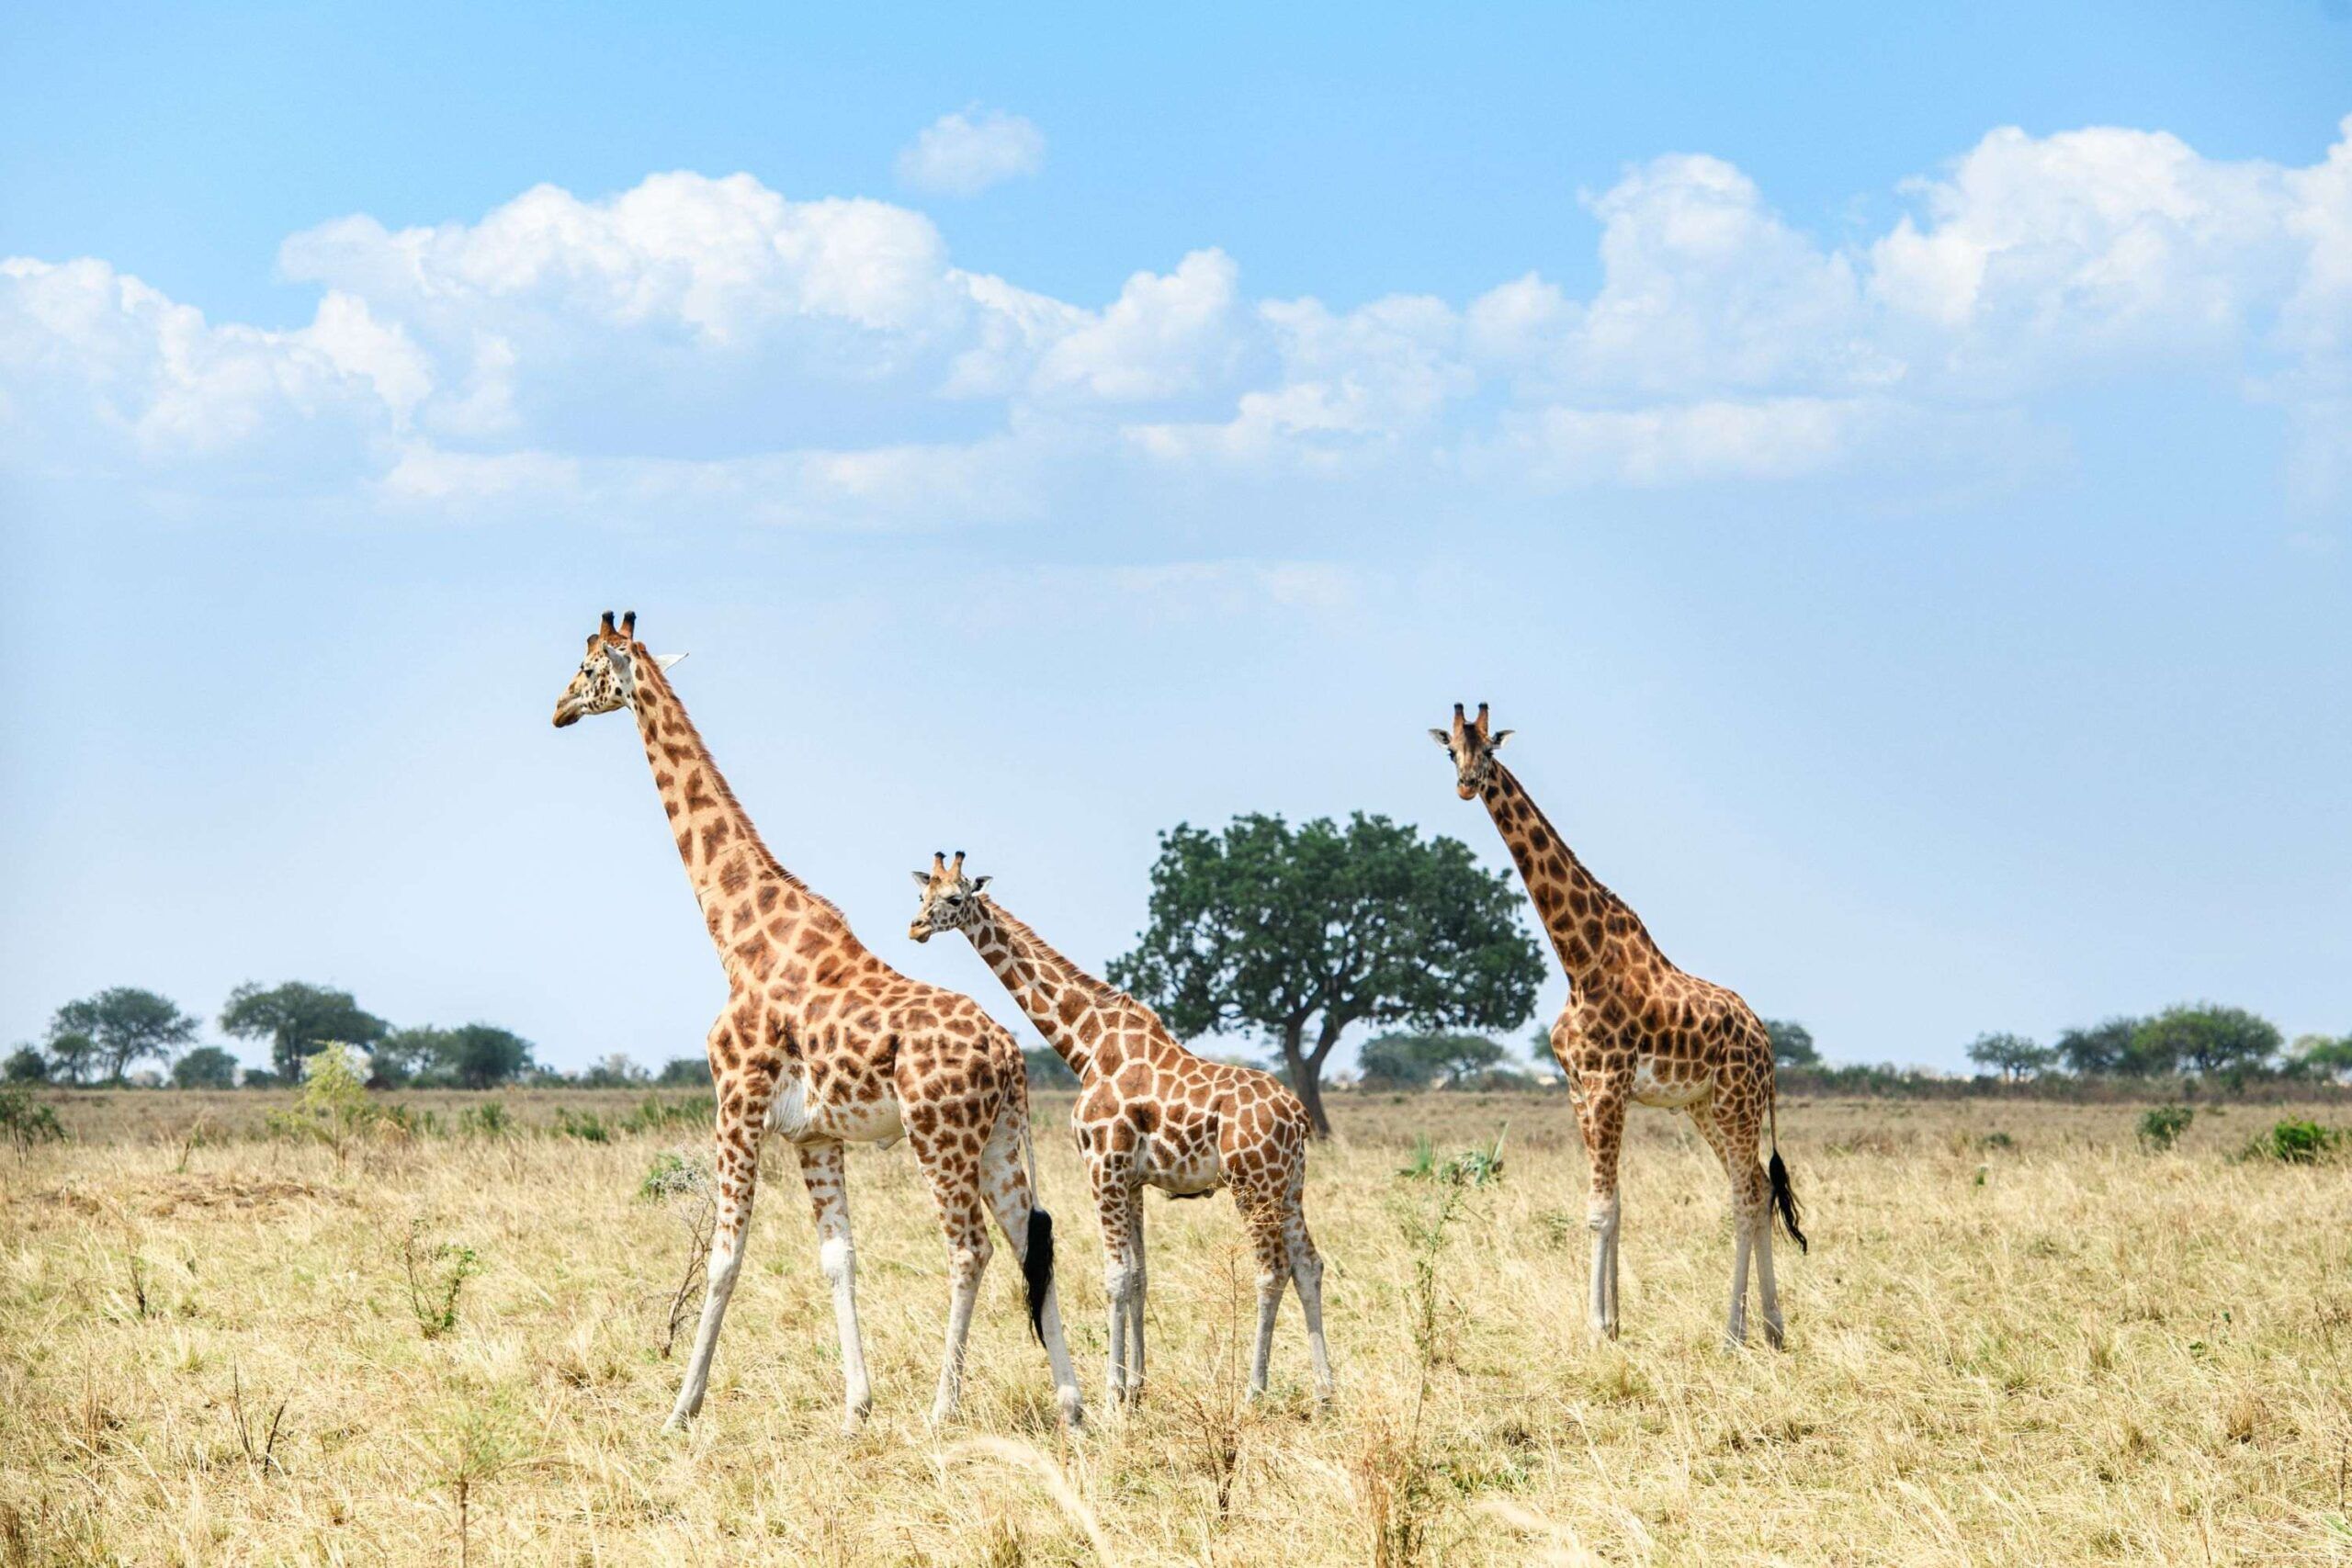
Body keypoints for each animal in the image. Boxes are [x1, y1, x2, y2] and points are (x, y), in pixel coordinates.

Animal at [555, 611, 1086, 1438]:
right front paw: (855, 1405)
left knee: (970, 1248)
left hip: (940, 1135)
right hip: (1001, 1138)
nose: (557, 710)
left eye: (586, 670)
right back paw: (1074, 1404)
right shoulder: (813, 1134)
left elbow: (724, 1256)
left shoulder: (736, 1101)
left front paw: (680, 1408)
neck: (738, 938)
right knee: (1027, 1238)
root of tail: (1010, 1054)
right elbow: (840, 1256)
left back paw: (942, 1407)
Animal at [908, 860, 1336, 1410]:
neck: (1086, 1045)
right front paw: (1136, 1387)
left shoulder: (1102, 1168)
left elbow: (1113, 1276)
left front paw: (1112, 1395)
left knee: (1272, 1269)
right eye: (924, 895)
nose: (916, 928)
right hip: (1289, 1184)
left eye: (955, 899)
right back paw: (1325, 1392)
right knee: (1309, 1264)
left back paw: (1253, 1391)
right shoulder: (1132, 1181)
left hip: (1253, 1184)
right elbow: (1138, 1276)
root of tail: (1299, 1114)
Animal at [1430, 705, 1796, 1344]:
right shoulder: (1580, 1089)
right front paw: (1617, 1321)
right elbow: (1614, 1204)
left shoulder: (1608, 1084)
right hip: (1706, 1106)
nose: (1467, 785)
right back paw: (1769, 1328)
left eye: (1490, 751)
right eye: (1451, 751)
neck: (1579, 959)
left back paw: (1734, 1330)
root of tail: (1767, 1043)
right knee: (1755, 1185)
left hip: (1737, 1101)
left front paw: (1596, 1327)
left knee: (1748, 1195)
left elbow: (1599, 1209)